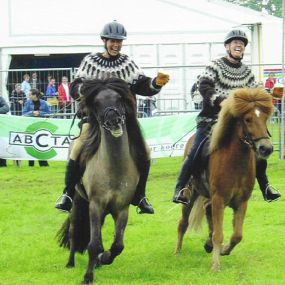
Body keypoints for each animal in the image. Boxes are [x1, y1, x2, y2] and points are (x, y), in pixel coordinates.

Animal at [56, 77, 148, 284]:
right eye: (96, 103)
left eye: (119, 99)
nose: (114, 121)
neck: (114, 167)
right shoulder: (96, 205)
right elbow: (93, 243)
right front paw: (88, 276)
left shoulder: (121, 208)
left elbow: (118, 245)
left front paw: (104, 258)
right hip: (78, 203)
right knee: (74, 232)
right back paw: (70, 263)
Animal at [173, 87, 272, 270]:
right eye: (247, 119)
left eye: (265, 118)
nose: (266, 148)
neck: (235, 162)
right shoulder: (219, 199)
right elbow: (219, 234)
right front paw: (216, 265)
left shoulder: (241, 202)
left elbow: (237, 235)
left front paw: (224, 250)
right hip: (190, 194)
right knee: (183, 223)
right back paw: (177, 252)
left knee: (206, 209)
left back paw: (208, 245)